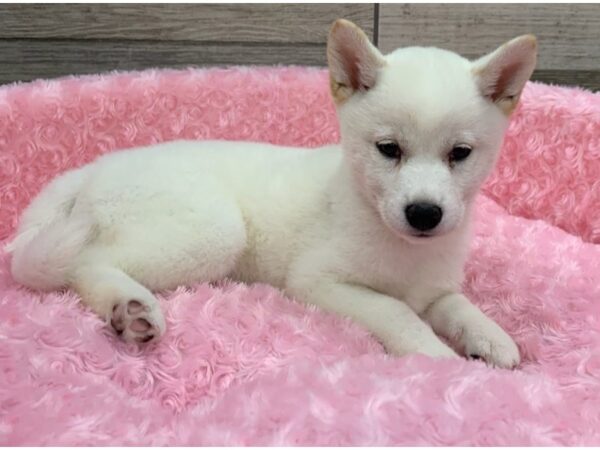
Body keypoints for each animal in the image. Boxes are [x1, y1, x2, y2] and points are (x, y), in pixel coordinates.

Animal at [7, 19, 536, 368]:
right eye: (389, 149)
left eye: (460, 154)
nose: (424, 213)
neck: (402, 249)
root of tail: (93, 168)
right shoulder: (318, 281)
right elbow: (397, 311)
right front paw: (433, 354)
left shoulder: (434, 289)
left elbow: (455, 305)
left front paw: (490, 336)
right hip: (213, 232)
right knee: (87, 265)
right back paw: (131, 307)